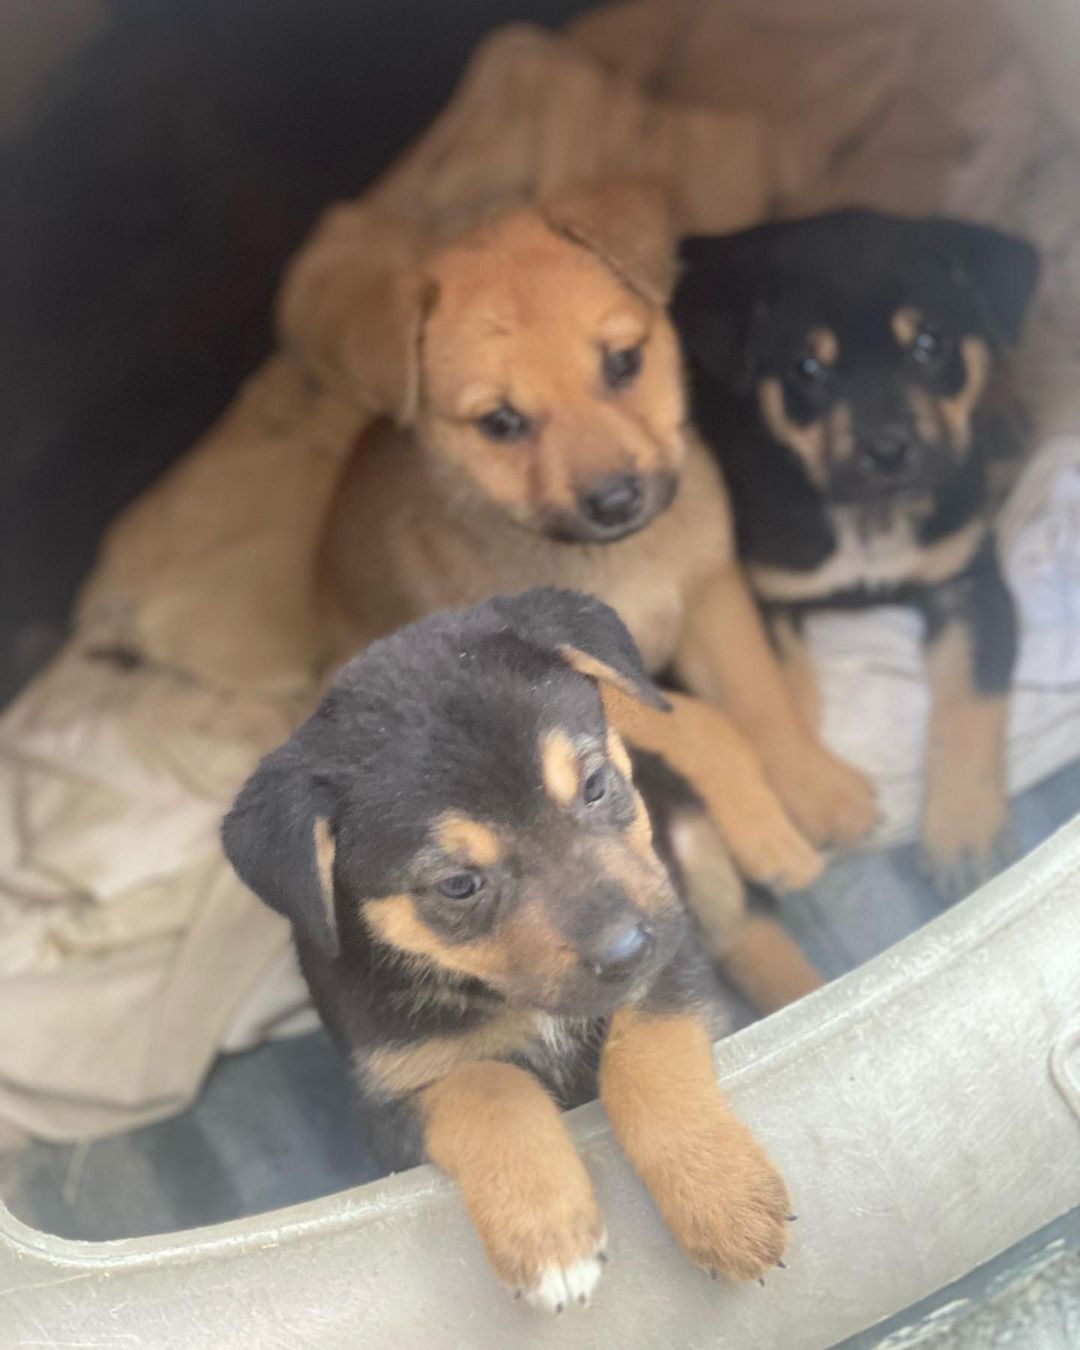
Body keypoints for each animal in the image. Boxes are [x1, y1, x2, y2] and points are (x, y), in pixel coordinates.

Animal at [218, 588, 793, 1306]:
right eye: (459, 885)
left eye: (595, 785)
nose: (629, 950)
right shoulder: (394, 1095)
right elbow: (490, 1085)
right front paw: (549, 1239)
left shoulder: (671, 968)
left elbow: (643, 1055)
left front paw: (725, 1201)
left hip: (689, 845)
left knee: (747, 930)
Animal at [280, 190, 874, 891]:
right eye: (500, 422)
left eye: (623, 362)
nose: (616, 500)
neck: (618, 559)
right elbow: (708, 727)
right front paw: (764, 830)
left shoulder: (709, 597)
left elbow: (758, 700)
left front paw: (818, 789)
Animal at [675, 207, 1036, 896]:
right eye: (806, 370)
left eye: (930, 344)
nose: (888, 450)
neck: (871, 518)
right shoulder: (769, 595)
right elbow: (778, 688)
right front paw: (814, 795)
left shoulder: (967, 583)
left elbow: (971, 706)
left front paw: (966, 832)